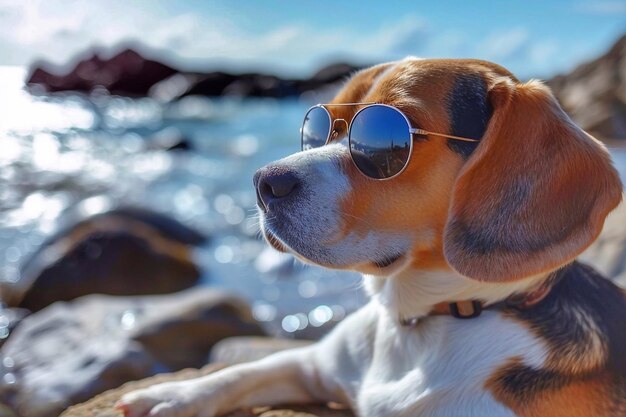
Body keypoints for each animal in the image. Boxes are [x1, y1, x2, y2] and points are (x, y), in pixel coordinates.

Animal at [118, 58, 624, 416]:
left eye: (385, 141)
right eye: (317, 127)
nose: (263, 182)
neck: (417, 325)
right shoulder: (316, 365)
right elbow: (249, 369)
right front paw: (173, 395)